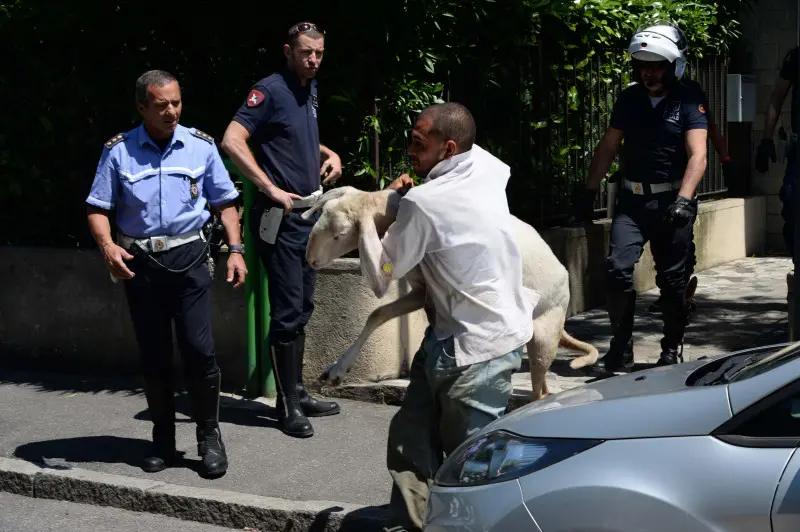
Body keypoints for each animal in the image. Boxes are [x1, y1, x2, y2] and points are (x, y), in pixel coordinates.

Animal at [302, 185, 600, 402]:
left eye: (340, 234)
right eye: (321, 215)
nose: (311, 260)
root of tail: (565, 276)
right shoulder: (421, 291)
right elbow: (378, 314)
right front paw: (336, 370)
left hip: (543, 334)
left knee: (541, 390)